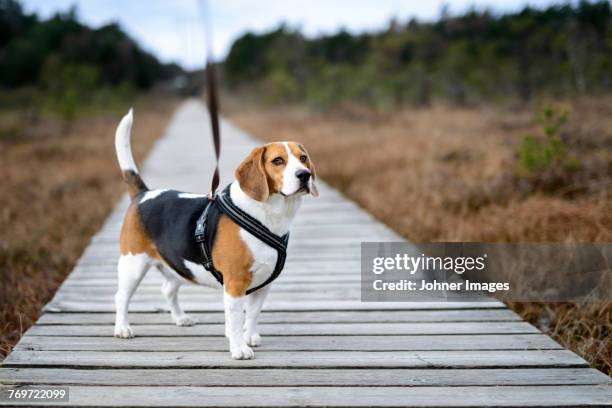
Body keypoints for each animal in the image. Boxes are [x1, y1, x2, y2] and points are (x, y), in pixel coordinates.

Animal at [112, 109, 318, 360]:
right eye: (278, 161)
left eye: (303, 158)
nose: (304, 175)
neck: (268, 214)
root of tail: (143, 194)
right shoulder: (235, 282)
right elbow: (236, 317)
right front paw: (239, 348)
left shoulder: (264, 283)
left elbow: (251, 314)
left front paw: (249, 336)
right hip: (133, 264)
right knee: (121, 297)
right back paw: (123, 328)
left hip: (176, 265)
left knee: (168, 289)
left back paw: (181, 318)